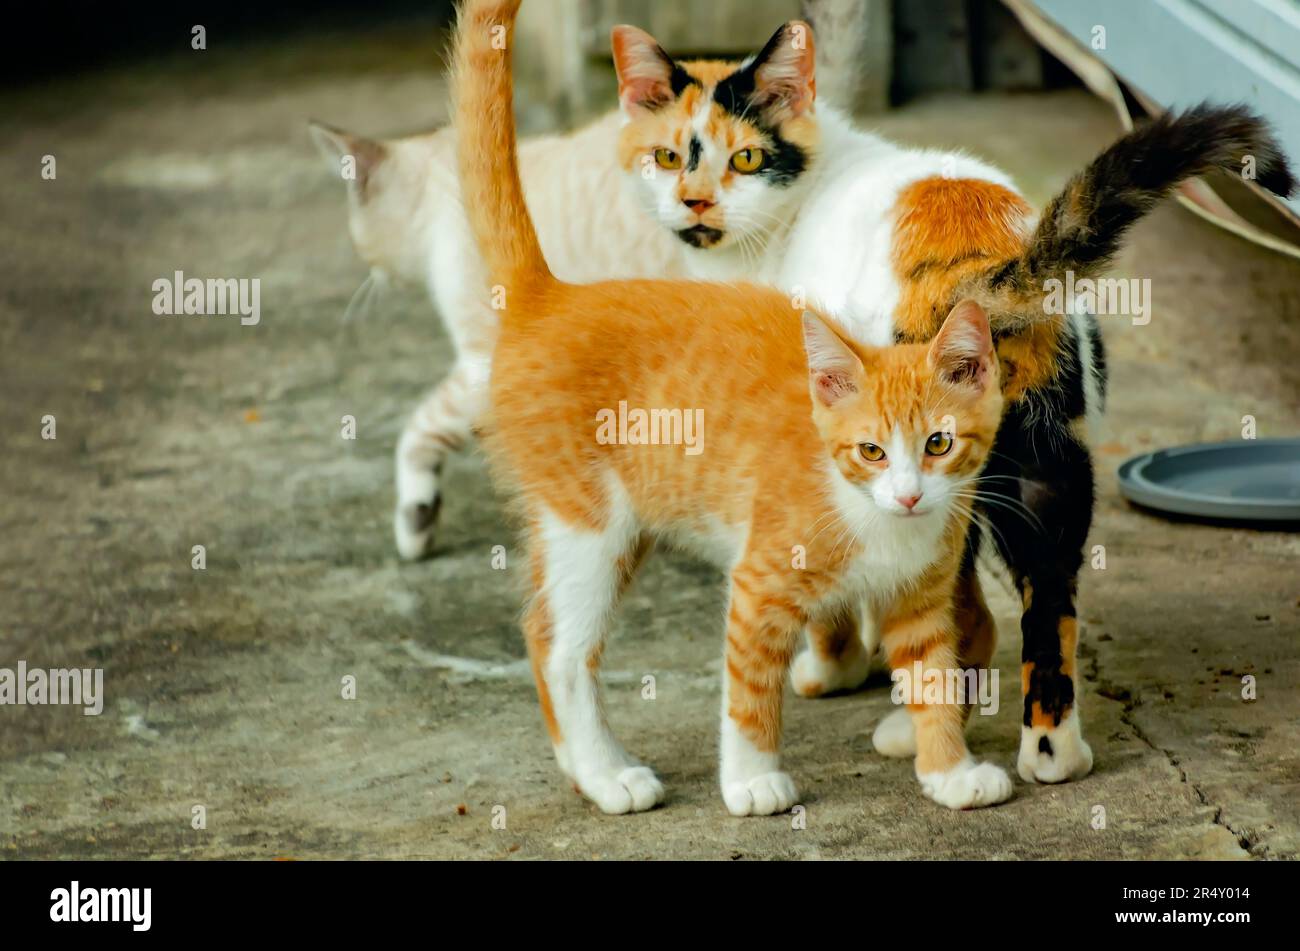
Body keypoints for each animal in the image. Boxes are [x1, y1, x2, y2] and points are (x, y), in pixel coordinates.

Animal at [457, 0, 1013, 815]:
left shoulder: (922, 597)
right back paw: (607, 773)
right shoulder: (759, 584)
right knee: (555, 643)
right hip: (586, 521)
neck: (879, 522)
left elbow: (935, 676)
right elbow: (751, 689)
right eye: (871, 450)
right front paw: (753, 781)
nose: (911, 495)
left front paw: (949, 771)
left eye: (940, 444)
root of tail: (553, 296)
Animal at [603, 20, 1294, 779]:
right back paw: (1053, 753)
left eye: (747, 157)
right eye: (668, 156)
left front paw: (834, 666)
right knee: (1043, 606)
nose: (695, 202)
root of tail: (983, 255)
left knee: (962, 605)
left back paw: (919, 731)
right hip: (1045, 463)